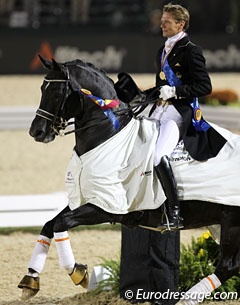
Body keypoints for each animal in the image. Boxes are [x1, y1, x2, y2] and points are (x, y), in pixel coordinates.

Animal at [18, 56, 240, 302]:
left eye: (57, 92)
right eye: (42, 88)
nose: (36, 132)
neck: (108, 137)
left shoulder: (106, 207)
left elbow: (60, 223)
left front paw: (78, 272)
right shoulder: (89, 199)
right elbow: (50, 224)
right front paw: (30, 280)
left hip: (232, 223)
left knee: (227, 266)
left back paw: (185, 298)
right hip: (221, 223)